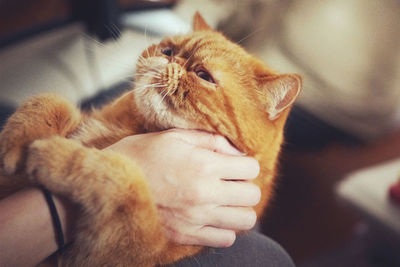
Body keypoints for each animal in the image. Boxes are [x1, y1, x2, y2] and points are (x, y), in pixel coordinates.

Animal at [0, 13, 300, 267]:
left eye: (203, 76)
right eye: (168, 49)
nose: (169, 59)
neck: (130, 126)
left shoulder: (114, 248)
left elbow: (123, 178)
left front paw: (51, 154)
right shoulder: (83, 118)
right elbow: (49, 101)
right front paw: (12, 146)